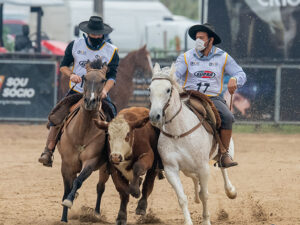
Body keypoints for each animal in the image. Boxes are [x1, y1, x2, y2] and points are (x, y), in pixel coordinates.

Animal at [57, 59, 109, 222]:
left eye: (103, 80)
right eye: (84, 78)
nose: (90, 101)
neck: (82, 131)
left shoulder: (90, 161)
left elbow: (78, 181)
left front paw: (69, 200)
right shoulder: (67, 163)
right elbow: (67, 188)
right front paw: (64, 217)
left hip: (105, 168)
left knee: (100, 187)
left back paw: (97, 213)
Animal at [148, 63, 237, 225]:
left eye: (168, 89)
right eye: (149, 89)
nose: (154, 116)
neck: (178, 132)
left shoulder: (203, 168)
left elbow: (205, 195)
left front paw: (206, 220)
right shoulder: (171, 169)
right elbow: (182, 198)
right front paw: (188, 221)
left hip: (225, 152)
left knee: (223, 167)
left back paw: (231, 191)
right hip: (187, 168)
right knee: (195, 179)